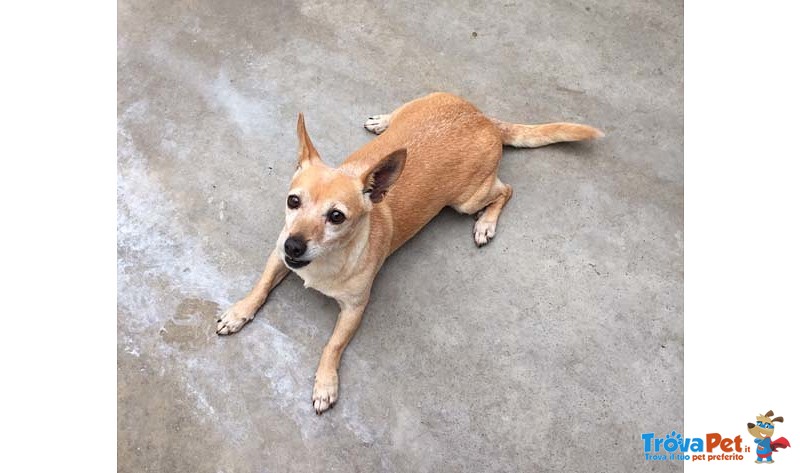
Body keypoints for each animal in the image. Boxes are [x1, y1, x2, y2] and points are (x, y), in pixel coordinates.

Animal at [216, 92, 604, 412]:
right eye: (293, 201)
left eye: (336, 217)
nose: (294, 245)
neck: (325, 262)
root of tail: (484, 119)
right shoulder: (277, 257)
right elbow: (260, 287)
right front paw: (238, 312)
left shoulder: (355, 309)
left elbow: (333, 346)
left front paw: (325, 383)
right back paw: (382, 121)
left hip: (467, 200)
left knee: (505, 190)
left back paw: (486, 224)